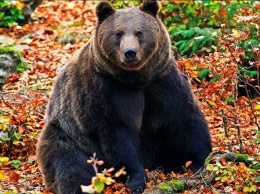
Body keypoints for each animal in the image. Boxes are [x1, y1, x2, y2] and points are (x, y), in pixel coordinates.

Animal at [36, 0, 211, 193]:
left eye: (139, 32)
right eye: (118, 33)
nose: (130, 52)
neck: (136, 80)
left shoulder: (161, 82)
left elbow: (184, 118)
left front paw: (199, 160)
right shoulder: (106, 90)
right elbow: (117, 133)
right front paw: (136, 179)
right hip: (67, 134)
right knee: (70, 165)